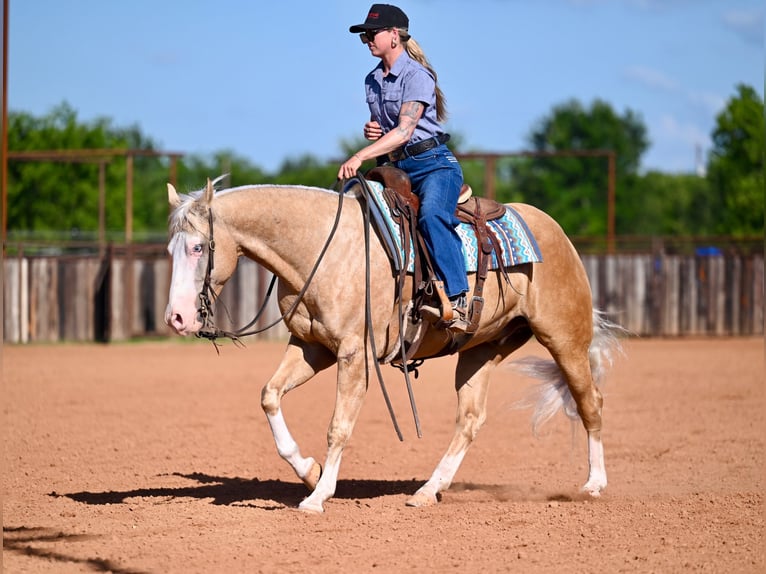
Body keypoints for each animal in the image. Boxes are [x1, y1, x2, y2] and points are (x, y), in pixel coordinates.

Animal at [164, 177, 624, 513]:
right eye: (171, 249)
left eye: (199, 247)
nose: (177, 318)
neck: (323, 248)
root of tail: (556, 232)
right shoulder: (311, 347)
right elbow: (269, 395)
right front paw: (309, 471)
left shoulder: (354, 354)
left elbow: (339, 425)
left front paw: (318, 496)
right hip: (481, 349)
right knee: (470, 419)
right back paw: (427, 491)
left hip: (564, 338)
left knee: (591, 402)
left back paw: (594, 484)